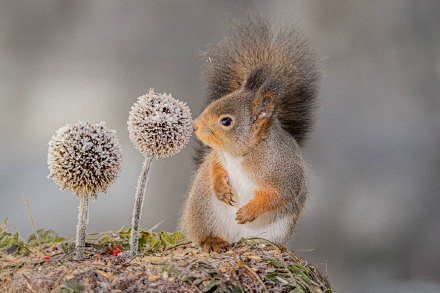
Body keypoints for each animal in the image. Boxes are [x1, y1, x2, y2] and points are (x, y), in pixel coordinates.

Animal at [179, 15, 320, 251]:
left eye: (226, 121)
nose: (195, 125)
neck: (242, 154)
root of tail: (235, 240)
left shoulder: (285, 174)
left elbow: (277, 196)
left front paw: (249, 210)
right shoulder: (218, 155)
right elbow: (214, 167)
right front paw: (221, 187)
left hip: (276, 230)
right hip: (202, 209)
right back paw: (212, 240)